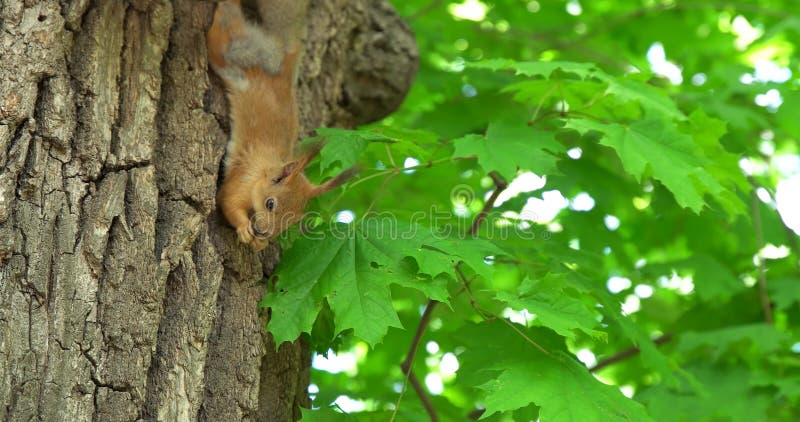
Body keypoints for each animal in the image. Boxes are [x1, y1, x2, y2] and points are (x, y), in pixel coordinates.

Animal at [209, 0, 356, 251]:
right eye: (270, 204)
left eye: (293, 220)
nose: (264, 232)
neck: (265, 170)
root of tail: (284, 67)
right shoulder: (242, 178)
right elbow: (228, 201)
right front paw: (245, 228)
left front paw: (260, 243)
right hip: (229, 48)